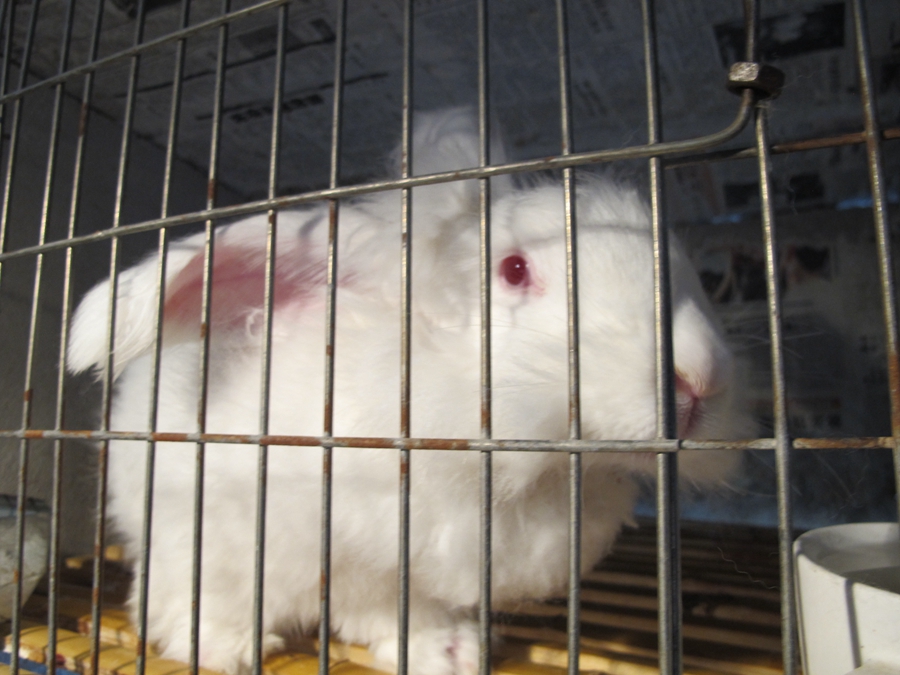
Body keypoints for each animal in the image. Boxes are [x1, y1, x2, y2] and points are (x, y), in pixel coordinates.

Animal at [68, 109, 744, 675]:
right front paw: (220, 647)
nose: (699, 379)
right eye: (514, 270)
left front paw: (451, 653)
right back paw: (222, 646)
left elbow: (408, 613)